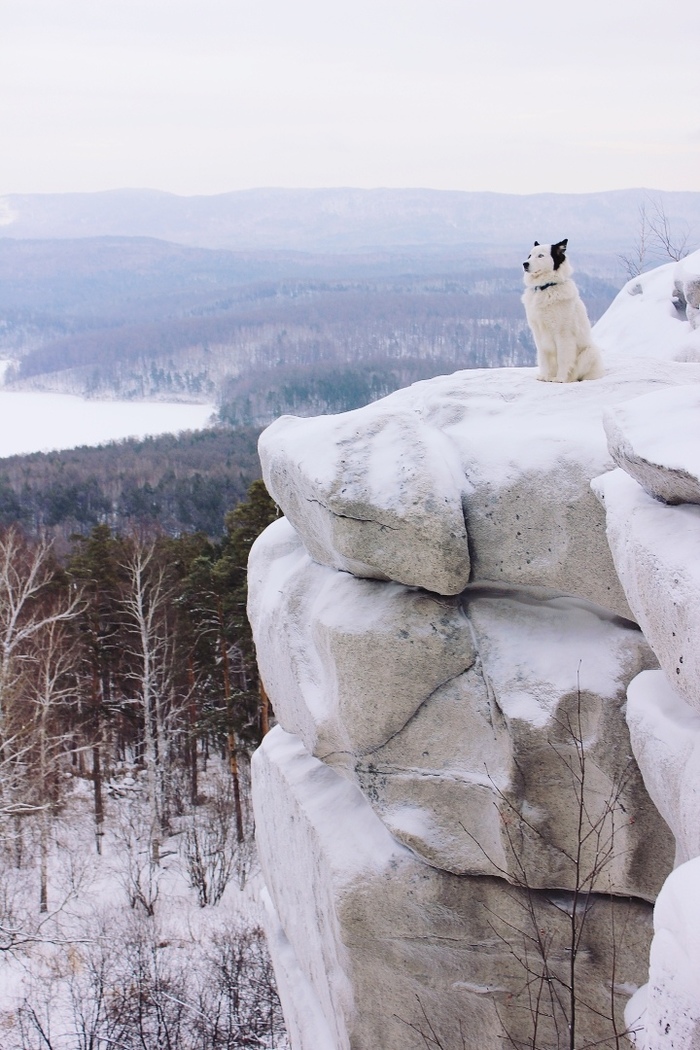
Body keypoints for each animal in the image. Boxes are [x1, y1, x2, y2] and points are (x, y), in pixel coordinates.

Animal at [522, 240, 604, 384]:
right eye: (530, 255)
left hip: (590, 352)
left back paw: (569, 378)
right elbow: (543, 358)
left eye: (541, 256)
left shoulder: (563, 334)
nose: (525, 264)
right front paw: (544, 376)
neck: (546, 287)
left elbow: (563, 358)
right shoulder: (538, 334)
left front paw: (560, 378)